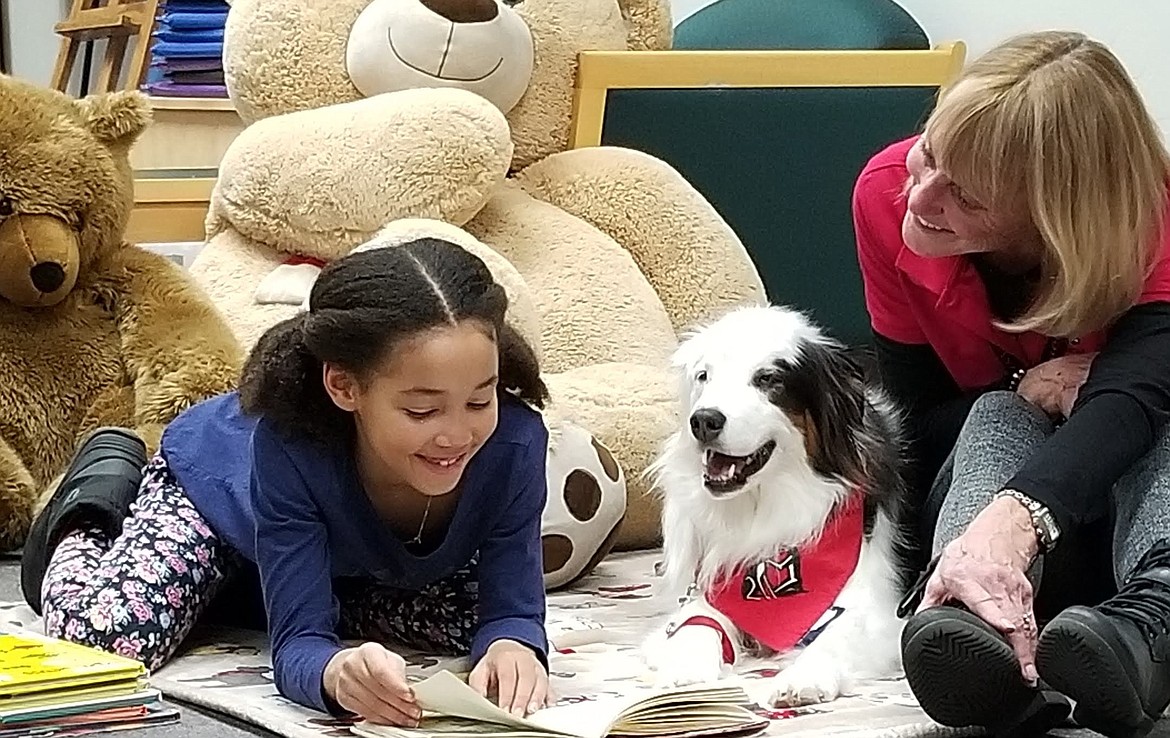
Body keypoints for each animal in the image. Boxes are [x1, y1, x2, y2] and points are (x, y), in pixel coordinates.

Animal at [645, 304, 917, 711]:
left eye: (768, 379)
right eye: (704, 376)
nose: (703, 420)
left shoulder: (878, 607)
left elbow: (836, 636)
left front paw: (803, 676)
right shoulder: (711, 582)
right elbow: (695, 623)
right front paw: (685, 667)